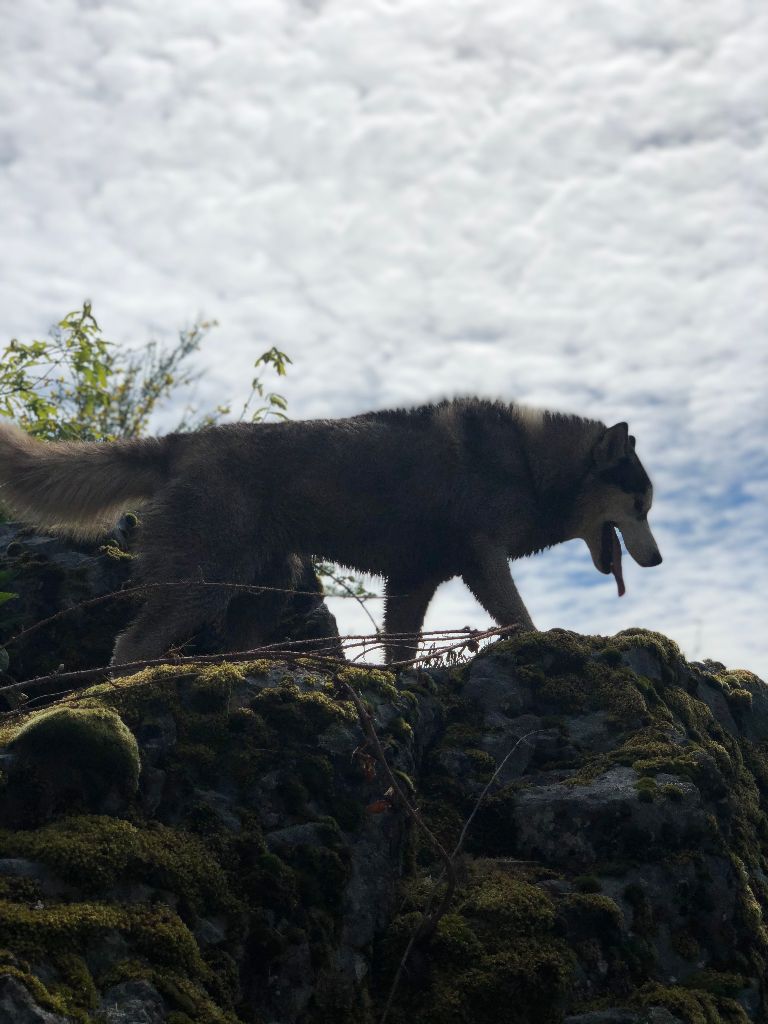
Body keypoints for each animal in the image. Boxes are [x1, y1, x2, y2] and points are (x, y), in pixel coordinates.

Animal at [0, 399, 663, 671]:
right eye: (641, 506)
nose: (657, 561)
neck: (531, 464)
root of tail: (180, 442)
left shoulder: (413, 581)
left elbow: (401, 651)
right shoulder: (482, 559)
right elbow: (519, 618)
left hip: (265, 590)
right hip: (202, 585)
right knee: (129, 645)